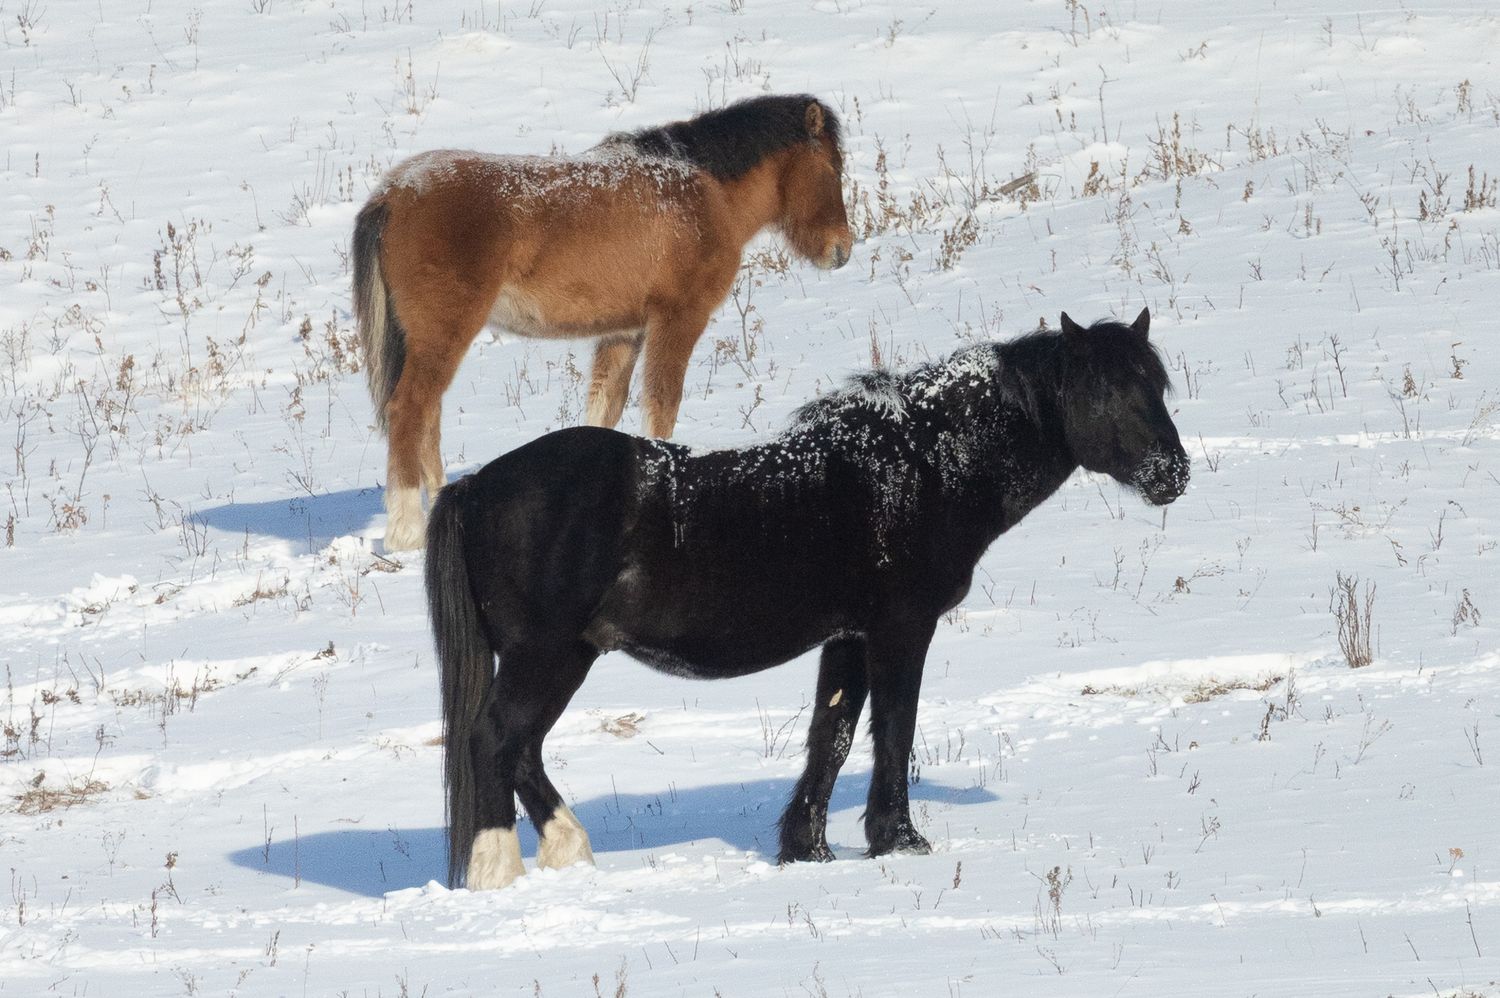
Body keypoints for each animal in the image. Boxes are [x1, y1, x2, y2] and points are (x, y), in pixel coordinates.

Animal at [353, 94, 854, 551]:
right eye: (832, 167)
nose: (842, 249)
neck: (704, 191)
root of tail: (393, 194)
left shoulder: (623, 334)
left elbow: (604, 410)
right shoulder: (677, 319)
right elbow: (661, 406)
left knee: (428, 417)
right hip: (442, 336)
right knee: (410, 411)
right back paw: (407, 532)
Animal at [424, 308, 1190, 890]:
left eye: (1157, 384)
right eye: (1106, 391)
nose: (1173, 474)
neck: (919, 467)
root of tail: (476, 486)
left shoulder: (848, 635)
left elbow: (834, 734)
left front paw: (808, 848)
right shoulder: (900, 629)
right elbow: (894, 729)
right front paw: (899, 839)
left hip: (564, 657)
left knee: (523, 752)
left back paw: (569, 852)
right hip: (546, 656)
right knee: (496, 741)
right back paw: (499, 871)